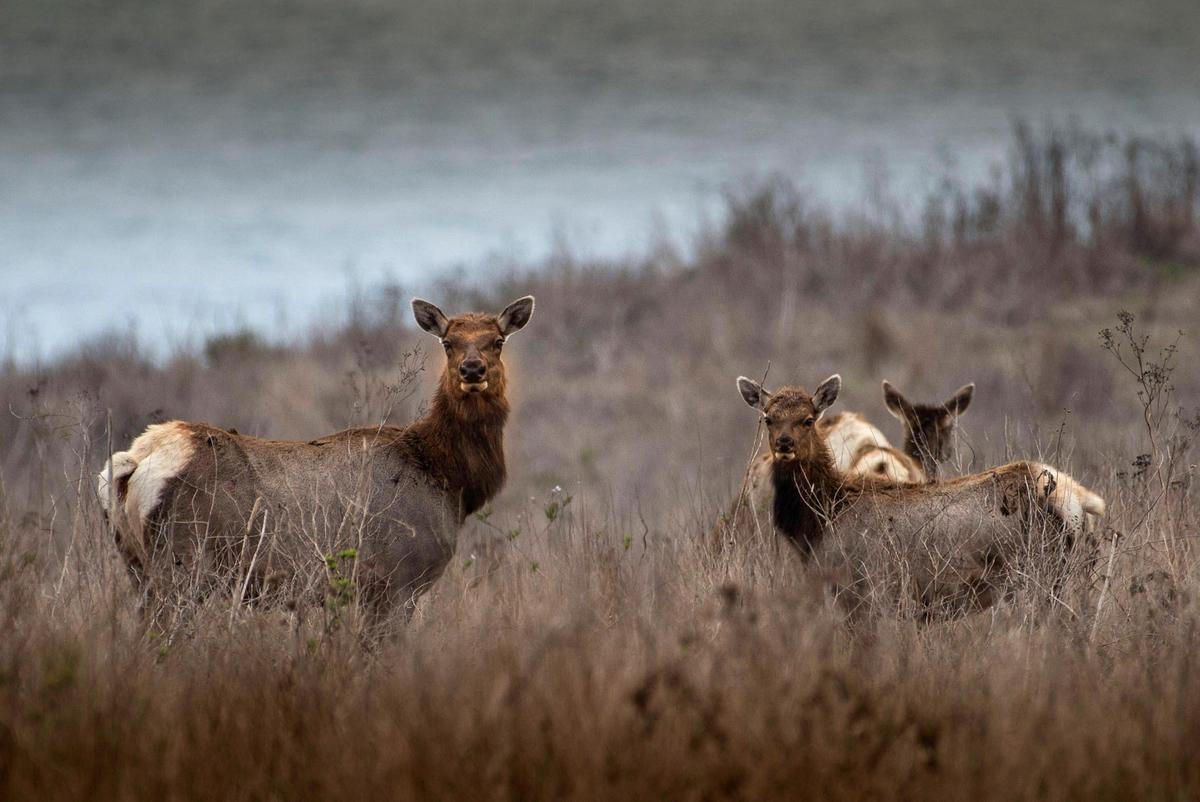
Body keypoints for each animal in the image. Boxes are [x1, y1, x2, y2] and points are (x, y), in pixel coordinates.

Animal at [96, 295, 534, 631]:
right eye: (447, 341)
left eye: (497, 340)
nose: (472, 369)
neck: (449, 479)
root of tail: (134, 461)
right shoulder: (397, 581)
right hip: (182, 565)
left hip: (135, 565)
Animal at [729, 373, 1106, 617]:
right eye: (768, 418)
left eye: (808, 419)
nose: (784, 444)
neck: (820, 517)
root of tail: (1078, 497)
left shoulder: (865, 589)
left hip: (1039, 574)